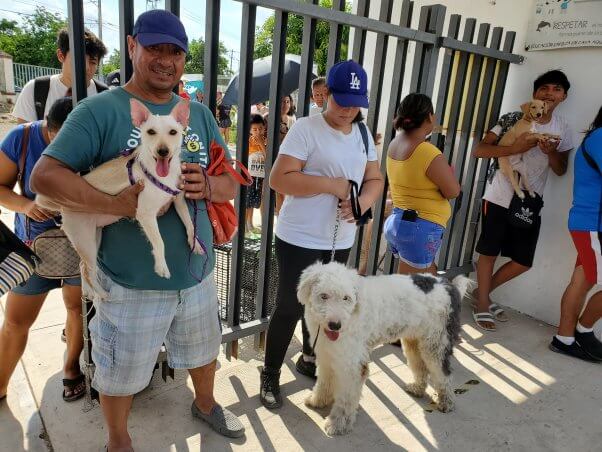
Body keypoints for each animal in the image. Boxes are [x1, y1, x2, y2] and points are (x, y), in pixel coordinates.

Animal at [298, 264, 472, 436]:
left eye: (346, 298)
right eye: (324, 296)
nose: (335, 325)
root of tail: (448, 285)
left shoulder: (353, 366)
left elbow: (345, 398)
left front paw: (338, 424)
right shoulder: (327, 356)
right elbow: (324, 382)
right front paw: (317, 401)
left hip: (436, 345)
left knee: (443, 375)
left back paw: (446, 402)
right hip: (413, 342)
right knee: (421, 368)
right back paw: (417, 389)